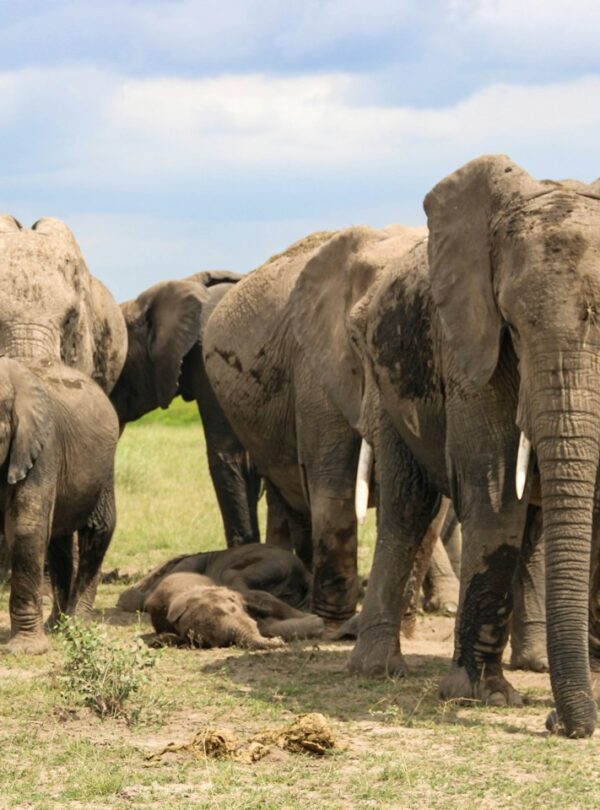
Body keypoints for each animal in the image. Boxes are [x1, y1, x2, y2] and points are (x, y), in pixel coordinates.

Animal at [0, 357, 118, 654]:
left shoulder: (41, 445)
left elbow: (27, 526)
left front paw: (27, 649)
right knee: (58, 543)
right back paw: (57, 625)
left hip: (104, 467)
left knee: (98, 531)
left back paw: (77, 626)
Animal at [289, 155, 600, 737]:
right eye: (511, 324)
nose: (556, 723)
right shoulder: (468, 344)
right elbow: (493, 490)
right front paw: (483, 697)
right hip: (387, 392)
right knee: (408, 508)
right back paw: (376, 669)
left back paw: (534, 664)